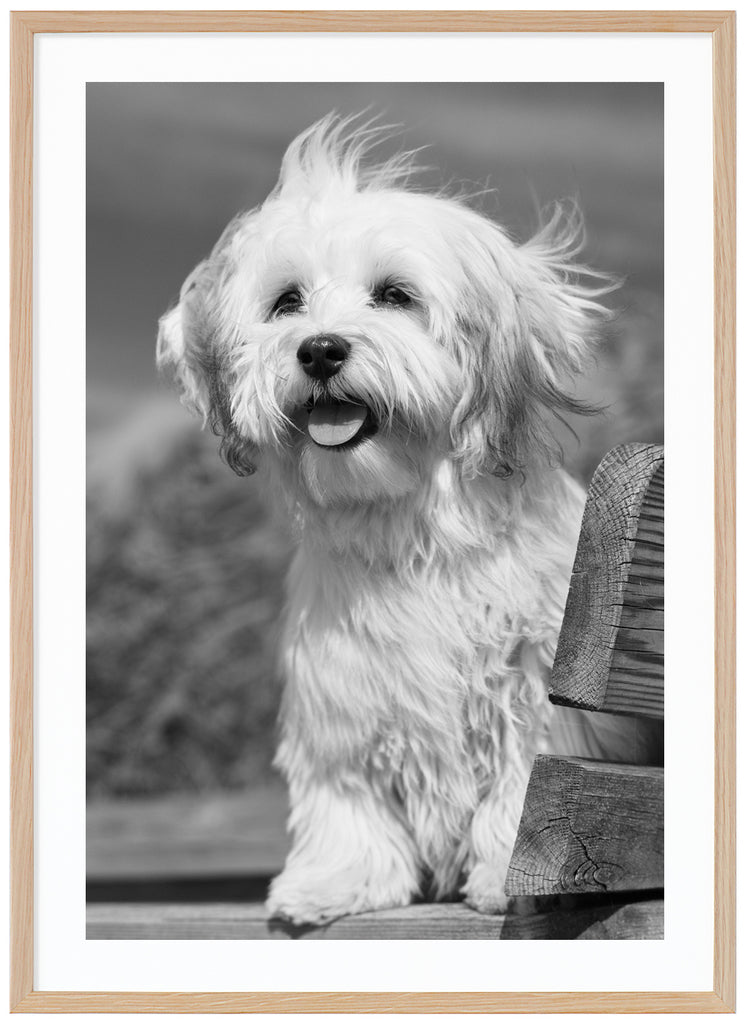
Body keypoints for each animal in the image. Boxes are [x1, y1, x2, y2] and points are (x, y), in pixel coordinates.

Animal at [158, 116, 639, 925]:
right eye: (286, 302)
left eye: (394, 295)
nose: (320, 349)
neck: (410, 527)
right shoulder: (343, 699)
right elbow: (347, 798)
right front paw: (335, 880)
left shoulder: (536, 689)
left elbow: (522, 782)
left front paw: (509, 877)